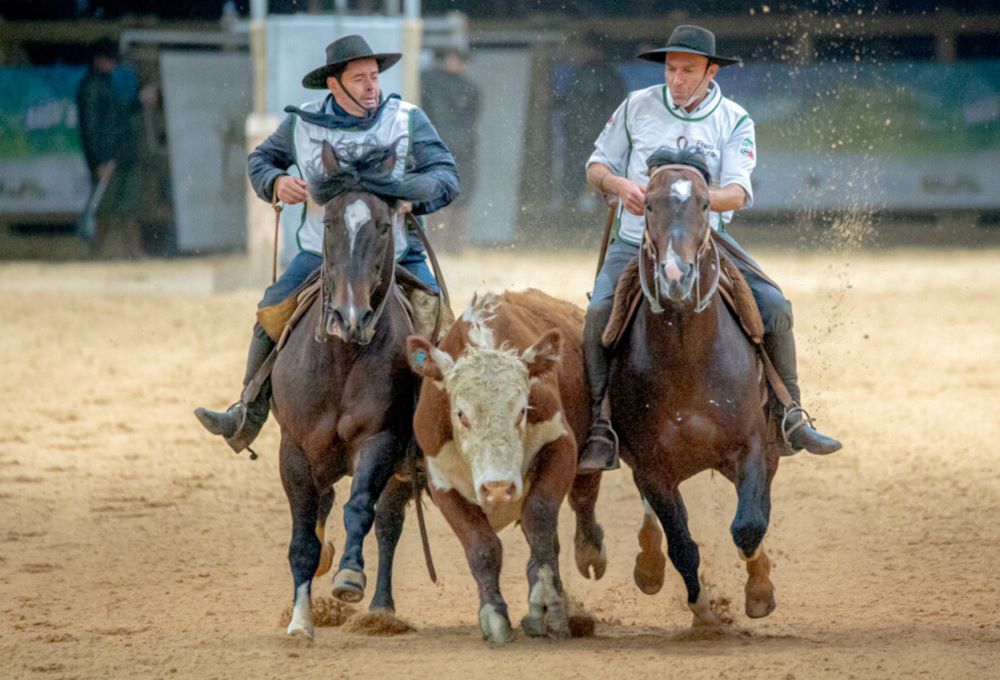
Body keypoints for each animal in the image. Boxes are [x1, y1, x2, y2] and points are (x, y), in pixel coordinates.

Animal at [272, 141, 420, 640]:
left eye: (383, 226)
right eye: (330, 222)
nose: (349, 316)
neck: (342, 359)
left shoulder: (382, 440)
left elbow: (361, 509)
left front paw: (351, 577)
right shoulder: (294, 451)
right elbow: (302, 538)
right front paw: (300, 621)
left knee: (388, 522)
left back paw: (381, 610)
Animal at [404, 290, 604, 644]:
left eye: (522, 410)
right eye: (461, 414)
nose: (497, 487)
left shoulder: (560, 444)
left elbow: (539, 516)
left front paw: (544, 602)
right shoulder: (441, 479)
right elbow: (482, 547)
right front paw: (494, 617)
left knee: (583, 497)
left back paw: (590, 553)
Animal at [608, 147, 780, 628]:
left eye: (705, 204)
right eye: (648, 204)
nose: (674, 275)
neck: (687, 359)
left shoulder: (752, 446)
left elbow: (749, 526)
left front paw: (760, 592)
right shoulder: (652, 468)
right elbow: (682, 543)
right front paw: (703, 610)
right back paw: (648, 566)